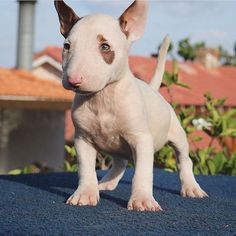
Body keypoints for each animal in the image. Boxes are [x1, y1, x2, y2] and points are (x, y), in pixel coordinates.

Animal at [54, 0, 207, 210]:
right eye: (67, 46)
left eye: (105, 46)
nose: (73, 80)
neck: (103, 97)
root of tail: (153, 90)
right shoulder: (82, 139)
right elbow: (86, 169)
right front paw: (85, 193)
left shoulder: (141, 140)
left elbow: (142, 173)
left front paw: (142, 200)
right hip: (117, 146)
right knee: (119, 163)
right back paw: (106, 183)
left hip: (178, 136)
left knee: (184, 160)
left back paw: (191, 187)